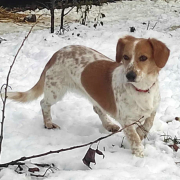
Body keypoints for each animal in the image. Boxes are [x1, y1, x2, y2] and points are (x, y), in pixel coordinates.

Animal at [6, 35, 170, 158]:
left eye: (143, 58)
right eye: (125, 57)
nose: (129, 75)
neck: (142, 90)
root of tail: (57, 53)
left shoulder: (153, 109)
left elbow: (148, 123)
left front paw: (142, 133)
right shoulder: (126, 120)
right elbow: (134, 138)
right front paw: (139, 153)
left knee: (97, 109)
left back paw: (108, 124)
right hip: (55, 91)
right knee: (43, 103)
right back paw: (48, 123)